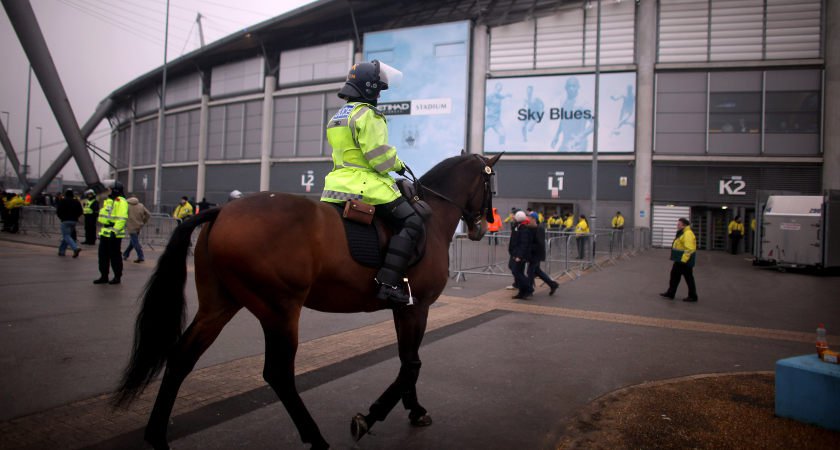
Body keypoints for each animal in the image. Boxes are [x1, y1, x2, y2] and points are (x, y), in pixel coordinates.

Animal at [115, 153, 502, 448]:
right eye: (491, 185)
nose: (482, 228)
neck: (430, 218)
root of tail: (222, 211)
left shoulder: (403, 309)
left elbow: (408, 361)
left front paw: (414, 410)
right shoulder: (416, 307)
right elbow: (412, 365)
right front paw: (371, 416)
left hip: (220, 305)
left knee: (182, 358)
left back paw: (157, 435)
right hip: (280, 309)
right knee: (278, 373)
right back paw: (315, 437)